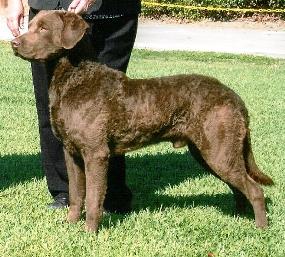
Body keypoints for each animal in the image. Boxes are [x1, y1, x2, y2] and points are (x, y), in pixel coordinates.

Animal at [11, 10, 272, 231]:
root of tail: (235, 97)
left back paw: (260, 228)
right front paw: (70, 226)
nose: (14, 42)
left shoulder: (96, 153)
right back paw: (238, 217)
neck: (74, 79)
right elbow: (76, 195)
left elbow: (94, 199)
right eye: (29, 26)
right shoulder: (71, 151)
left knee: (255, 189)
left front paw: (89, 234)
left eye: (44, 28)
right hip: (209, 152)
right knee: (239, 188)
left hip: (218, 151)